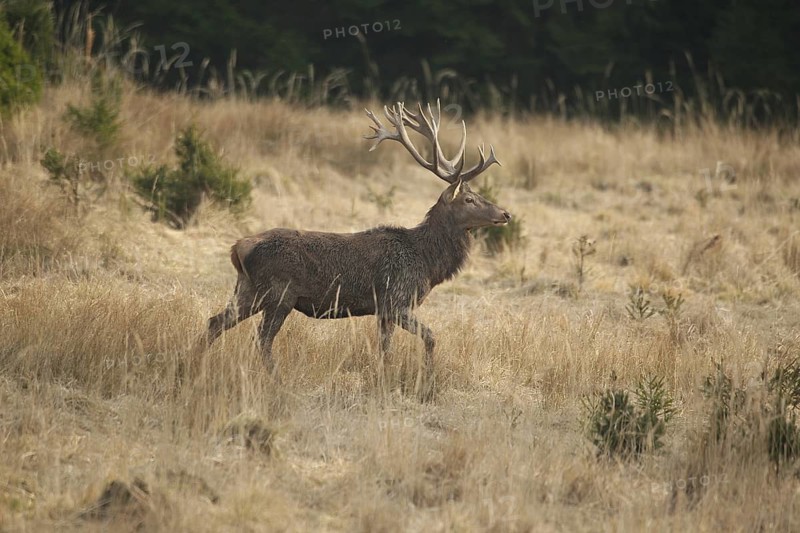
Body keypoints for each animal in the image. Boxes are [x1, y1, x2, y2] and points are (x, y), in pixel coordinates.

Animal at [205, 100, 511, 390]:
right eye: (469, 199)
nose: (505, 214)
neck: (426, 261)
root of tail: (238, 248)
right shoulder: (395, 300)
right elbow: (430, 337)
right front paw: (427, 379)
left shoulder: (383, 311)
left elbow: (385, 350)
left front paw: (385, 380)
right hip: (280, 293)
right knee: (262, 339)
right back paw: (277, 382)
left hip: (248, 290)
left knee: (214, 322)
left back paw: (197, 364)